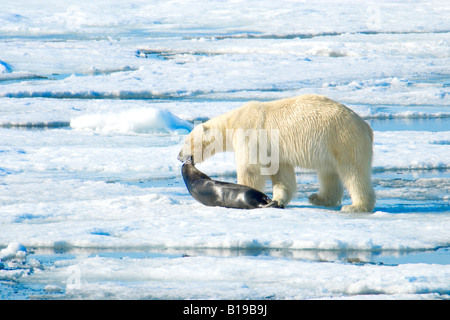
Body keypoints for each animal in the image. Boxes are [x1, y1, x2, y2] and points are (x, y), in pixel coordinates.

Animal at [178, 94, 374, 212]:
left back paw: (356, 206)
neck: (232, 122)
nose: (179, 156)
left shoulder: (249, 133)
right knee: (328, 173)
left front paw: (242, 189)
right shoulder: (274, 149)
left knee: (353, 173)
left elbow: (249, 168)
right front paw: (278, 199)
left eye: (185, 142)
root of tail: (366, 127)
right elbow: (281, 173)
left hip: (342, 139)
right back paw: (318, 198)